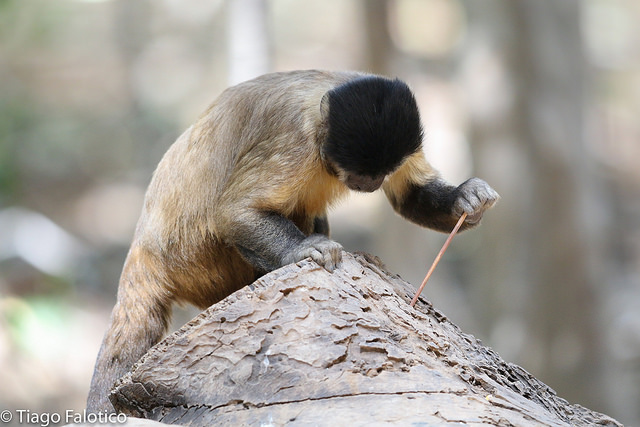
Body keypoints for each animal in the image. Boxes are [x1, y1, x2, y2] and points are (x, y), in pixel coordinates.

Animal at [87, 70, 499, 412]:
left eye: (381, 172)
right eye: (360, 172)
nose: (370, 182)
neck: (322, 115)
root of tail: (144, 248)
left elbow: (409, 196)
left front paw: (467, 198)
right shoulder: (295, 138)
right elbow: (233, 213)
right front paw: (302, 250)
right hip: (196, 260)